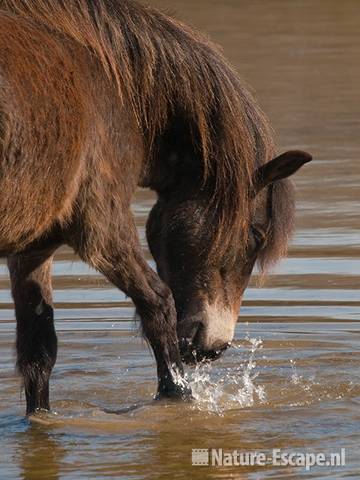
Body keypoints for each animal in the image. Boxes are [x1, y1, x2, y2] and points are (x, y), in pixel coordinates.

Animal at [0, 0, 310, 414]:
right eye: (257, 235)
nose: (214, 348)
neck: (116, 90)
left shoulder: (33, 249)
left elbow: (39, 354)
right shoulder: (102, 226)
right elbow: (159, 306)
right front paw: (178, 399)